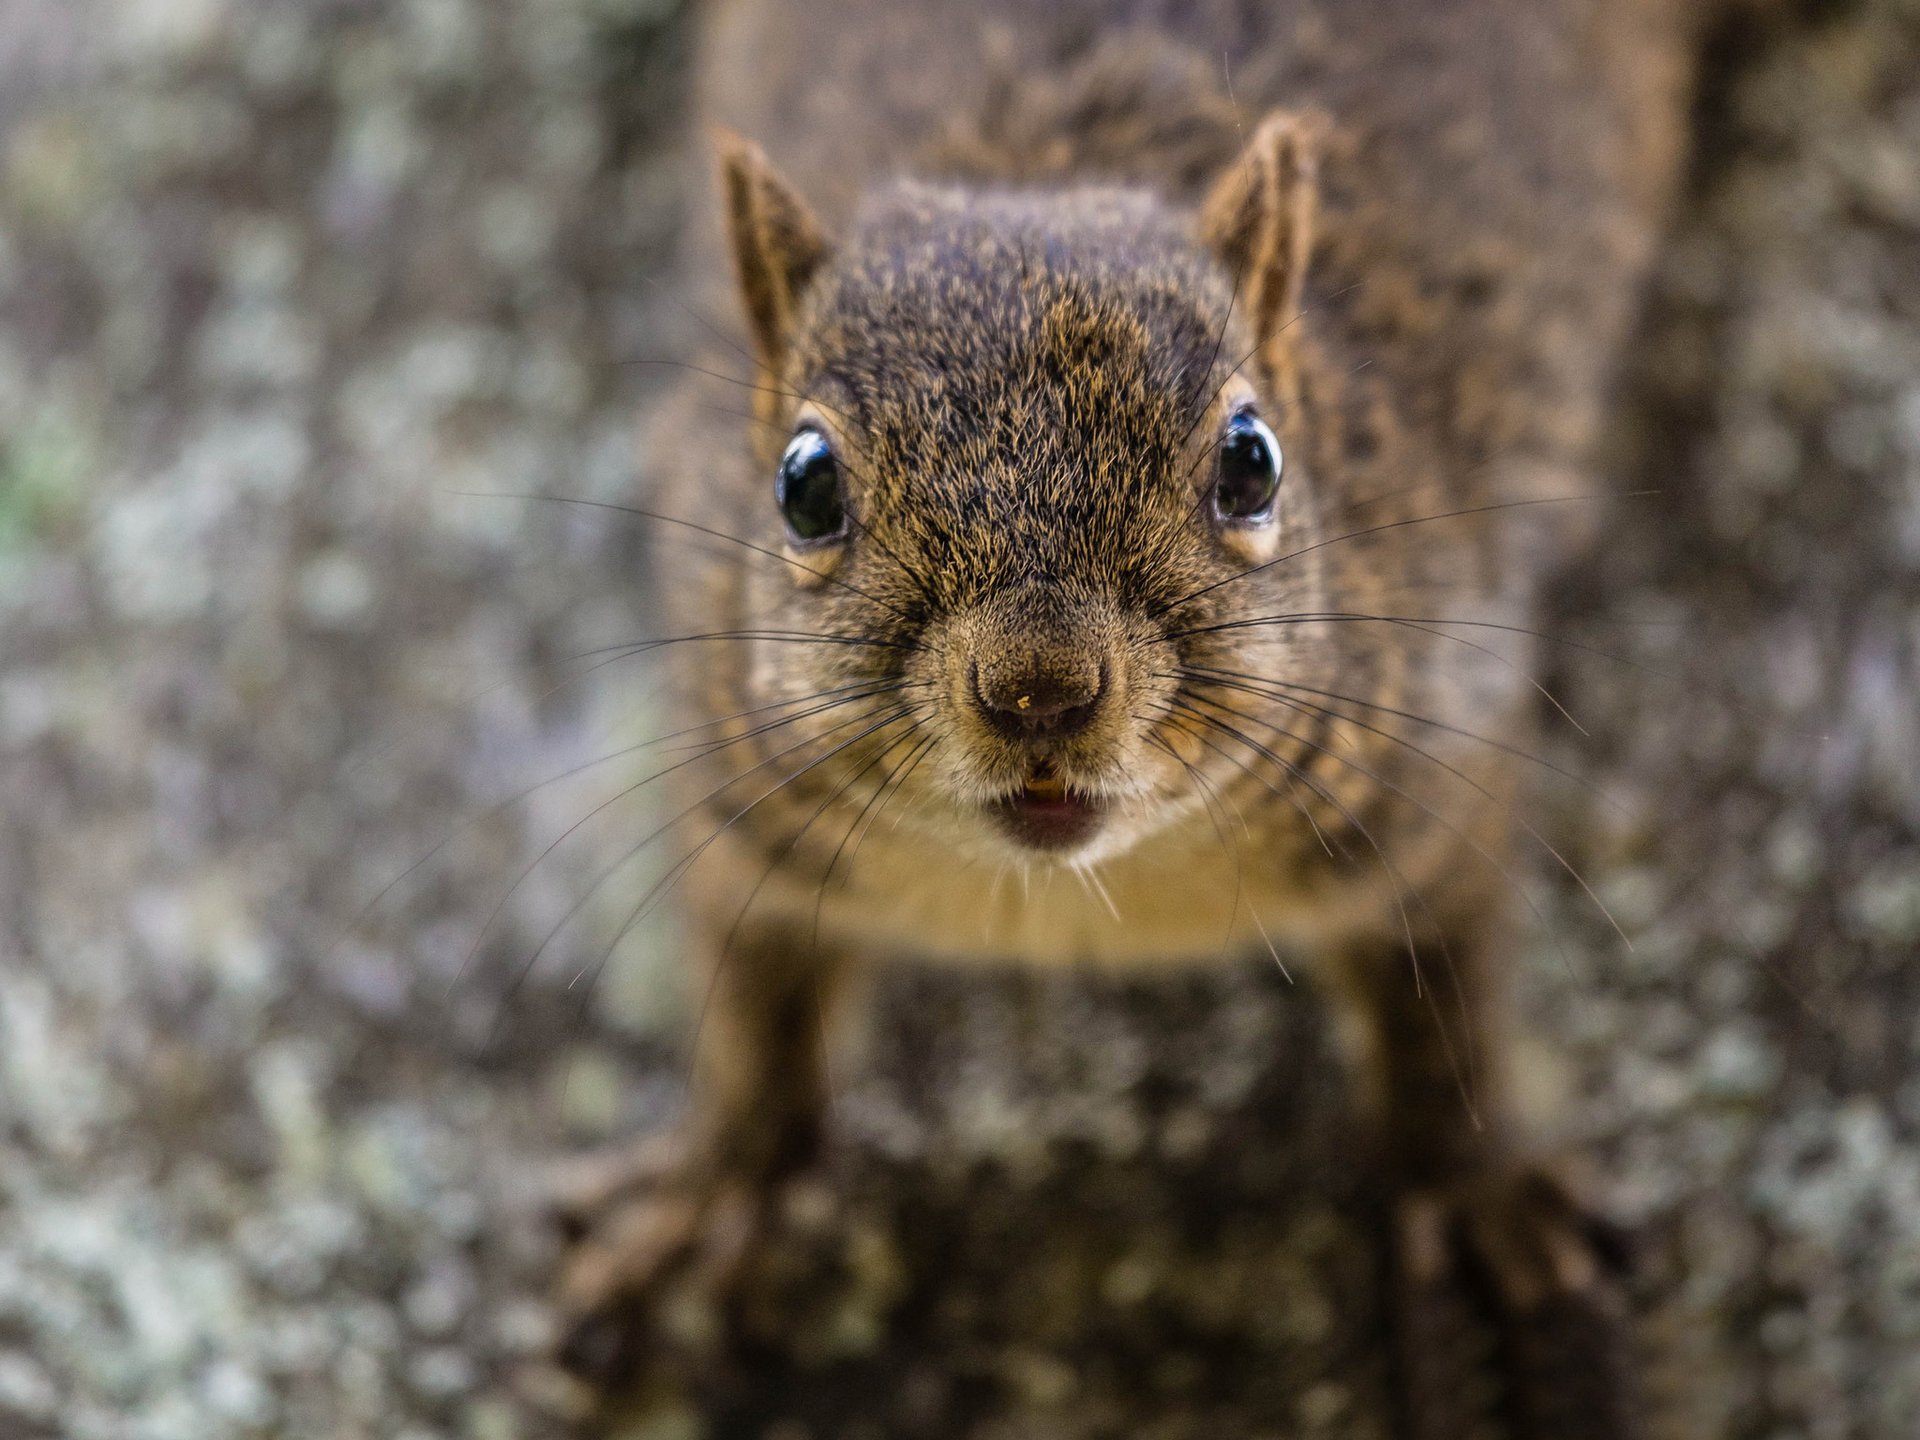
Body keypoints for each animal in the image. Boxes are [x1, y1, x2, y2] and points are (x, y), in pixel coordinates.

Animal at [552, 1, 1724, 1435]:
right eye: (804, 485)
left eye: (1251, 461)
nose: (1040, 689)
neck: (1074, 900)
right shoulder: (740, 793)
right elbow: (755, 1014)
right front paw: (714, 1193)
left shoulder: (1433, 765)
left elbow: (1446, 1003)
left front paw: (1472, 1193)